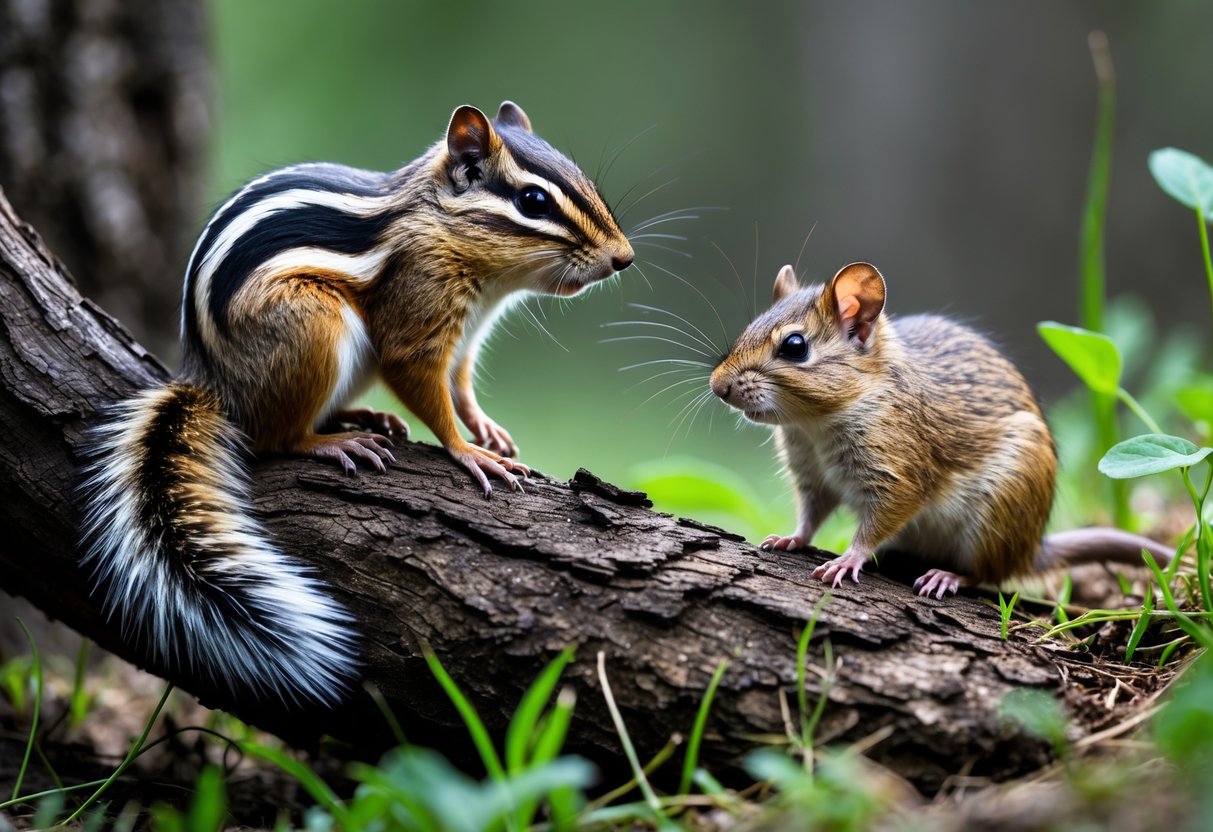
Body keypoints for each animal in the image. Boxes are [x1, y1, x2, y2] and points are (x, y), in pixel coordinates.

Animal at [79, 101, 634, 706]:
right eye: (533, 201)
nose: (624, 258)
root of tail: (213, 383)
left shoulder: (466, 339)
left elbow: (461, 387)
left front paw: (486, 429)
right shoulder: (416, 314)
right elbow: (425, 388)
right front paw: (469, 452)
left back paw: (364, 417)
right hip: (314, 325)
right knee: (277, 436)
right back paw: (337, 442)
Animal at [709, 261, 1173, 599]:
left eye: (794, 346)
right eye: (750, 326)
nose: (717, 386)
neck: (814, 425)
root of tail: (1031, 551)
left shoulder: (897, 477)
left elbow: (874, 525)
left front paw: (847, 560)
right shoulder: (813, 478)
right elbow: (810, 516)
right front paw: (789, 538)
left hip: (995, 516)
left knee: (988, 574)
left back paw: (947, 577)